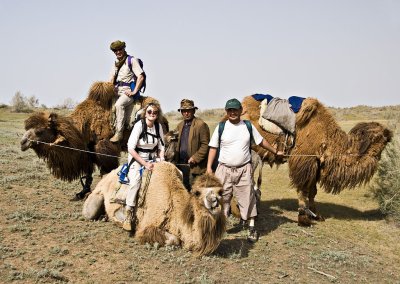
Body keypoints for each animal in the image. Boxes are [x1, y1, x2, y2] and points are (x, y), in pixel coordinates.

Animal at [19, 81, 169, 199]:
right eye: (27, 128)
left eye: (39, 131)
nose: (23, 143)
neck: (82, 128)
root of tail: (163, 117)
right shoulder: (88, 150)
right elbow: (88, 172)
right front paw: (82, 193)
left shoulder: (103, 147)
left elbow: (105, 170)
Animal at [83, 161, 227, 256]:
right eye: (197, 193)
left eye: (220, 192)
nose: (213, 201)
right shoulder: (147, 225)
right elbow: (174, 239)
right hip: (95, 199)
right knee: (90, 212)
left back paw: (104, 217)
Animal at [239, 95, 392, 226]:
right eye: (382, 138)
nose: (390, 135)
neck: (326, 137)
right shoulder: (304, 162)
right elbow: (302, 190)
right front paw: (303, 218)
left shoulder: (315, 164)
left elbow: (312, 191)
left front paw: (316, 215)